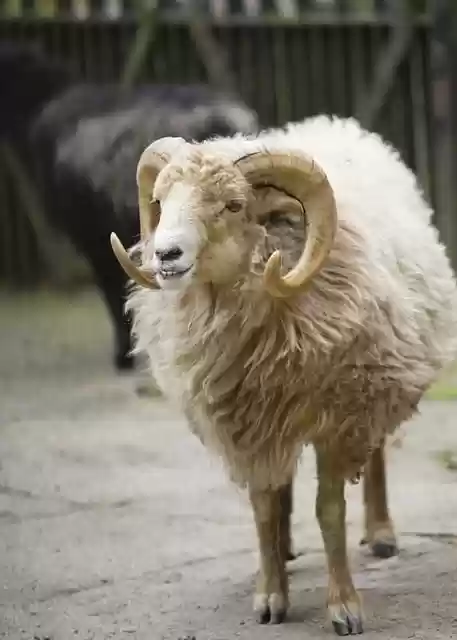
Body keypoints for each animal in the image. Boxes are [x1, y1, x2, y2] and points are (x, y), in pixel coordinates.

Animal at [109, 115, 457, 634]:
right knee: (282, 484)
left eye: (233, 205)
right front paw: (270, 596)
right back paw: (287, 547)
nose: (165, 255)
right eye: (161, 200)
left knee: (374, 454)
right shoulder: (247, 421)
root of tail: (335, 125)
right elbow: (262, 508)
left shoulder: (341, 414)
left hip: (377, 375)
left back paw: (380, 533)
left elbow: (329, 510)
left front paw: (344, 606)